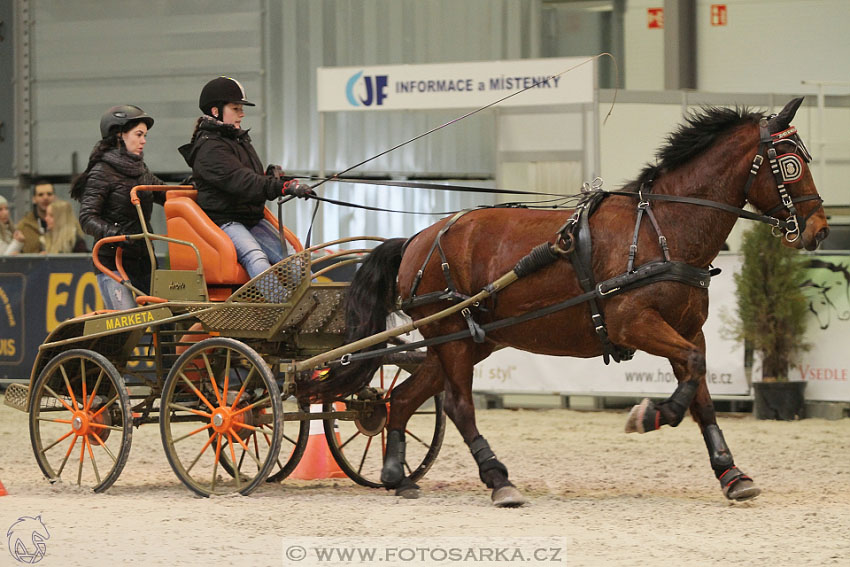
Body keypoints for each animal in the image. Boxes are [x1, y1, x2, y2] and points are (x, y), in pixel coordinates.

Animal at [300, 96, 828, 506]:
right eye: (790, 163)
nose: (821, 230)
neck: (661, 228)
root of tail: (418, 238)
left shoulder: (688, 328)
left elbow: (702, 393)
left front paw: (731, 473)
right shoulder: (634, 322)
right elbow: (692, 377)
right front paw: (651, 415)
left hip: (468, 339)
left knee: (405, 397)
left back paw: (396, 475)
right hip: (450, 335)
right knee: (457, 404)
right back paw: (499, 481)